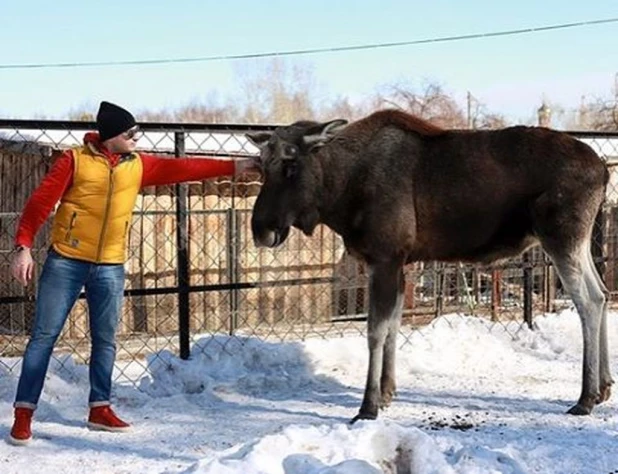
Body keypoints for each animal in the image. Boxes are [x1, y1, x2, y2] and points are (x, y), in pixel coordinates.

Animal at [244, 109, 608, 420]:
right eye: (261, 165)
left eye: (290, 164)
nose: (261, 229)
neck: (340, 193)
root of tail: (603, 171)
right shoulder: (400, 263)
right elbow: (393, 325)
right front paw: (387, 393)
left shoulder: (384, 258)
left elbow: (375, 331)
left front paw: (368, 406)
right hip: (578, 244)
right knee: (603, 292)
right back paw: (604, 387)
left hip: (561, 238)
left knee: (588, 300)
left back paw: (586, 397)